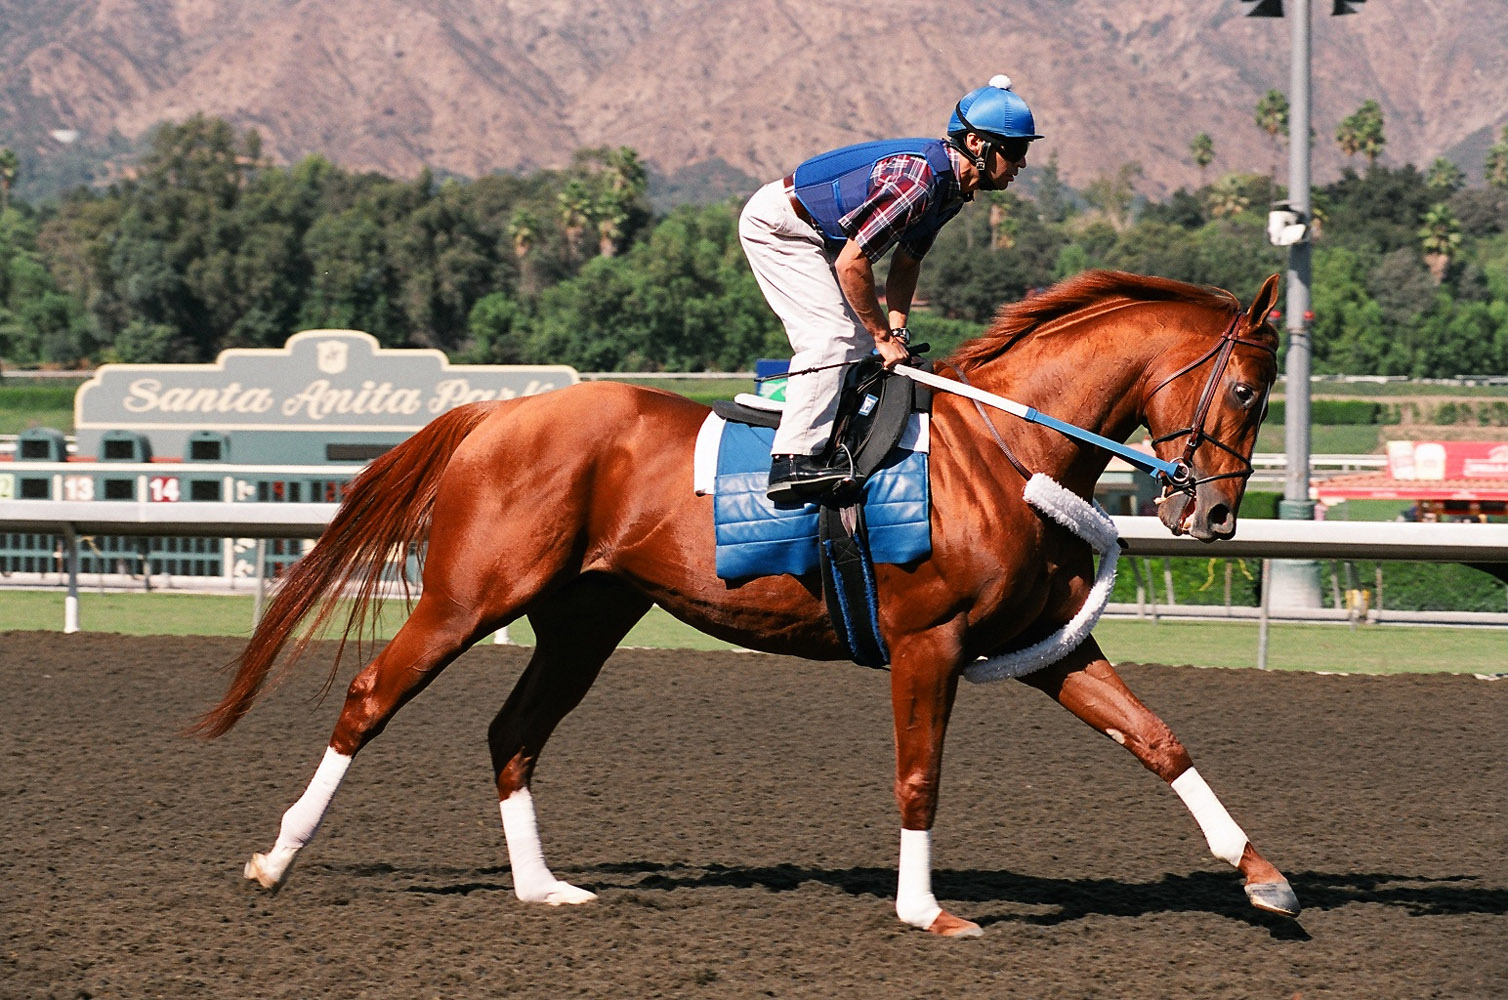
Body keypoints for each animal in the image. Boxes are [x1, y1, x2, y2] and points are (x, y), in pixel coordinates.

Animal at [197, 268, 1296, 941]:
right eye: (1247, 392)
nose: (1214, 516)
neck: (1003, 446)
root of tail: (497, 412)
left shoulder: (1045, 644)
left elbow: (1156, 738)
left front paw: (1263, 877)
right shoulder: (927, 642)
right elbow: (919, 778)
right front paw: (926, 910)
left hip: (586, 618)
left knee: (513, 731)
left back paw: (541, 885)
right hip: (472, 595)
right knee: (371, 697)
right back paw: (276, 858)